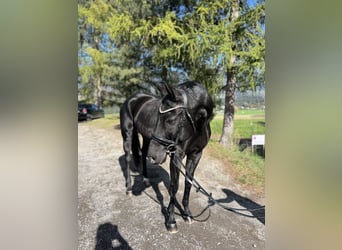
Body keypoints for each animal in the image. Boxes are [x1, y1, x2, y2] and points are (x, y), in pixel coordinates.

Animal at [119, 81, 212, 233]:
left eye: (171, 119)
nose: (154, 156)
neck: (197, 127)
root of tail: (132, 98)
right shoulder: (176, 155)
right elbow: (174, 186)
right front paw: (171, 220)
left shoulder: (196, 154)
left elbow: (188, 182)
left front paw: (187, 214)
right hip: (128, 134)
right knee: (127, 158)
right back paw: (128, 189)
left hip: (146, 138)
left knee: (143, 154)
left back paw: (146, 179)